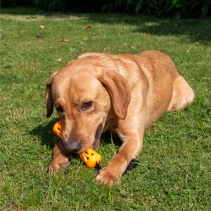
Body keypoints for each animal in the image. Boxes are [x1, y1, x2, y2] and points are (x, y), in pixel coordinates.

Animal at [45, 50, 195, 186]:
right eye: (59, 108)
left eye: (87, 104)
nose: (71, 148)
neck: (111, 116)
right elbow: (59, 142)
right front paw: (58, 160)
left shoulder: (134, 136)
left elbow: (121, 156)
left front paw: (109, 174)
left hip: (187, 96)